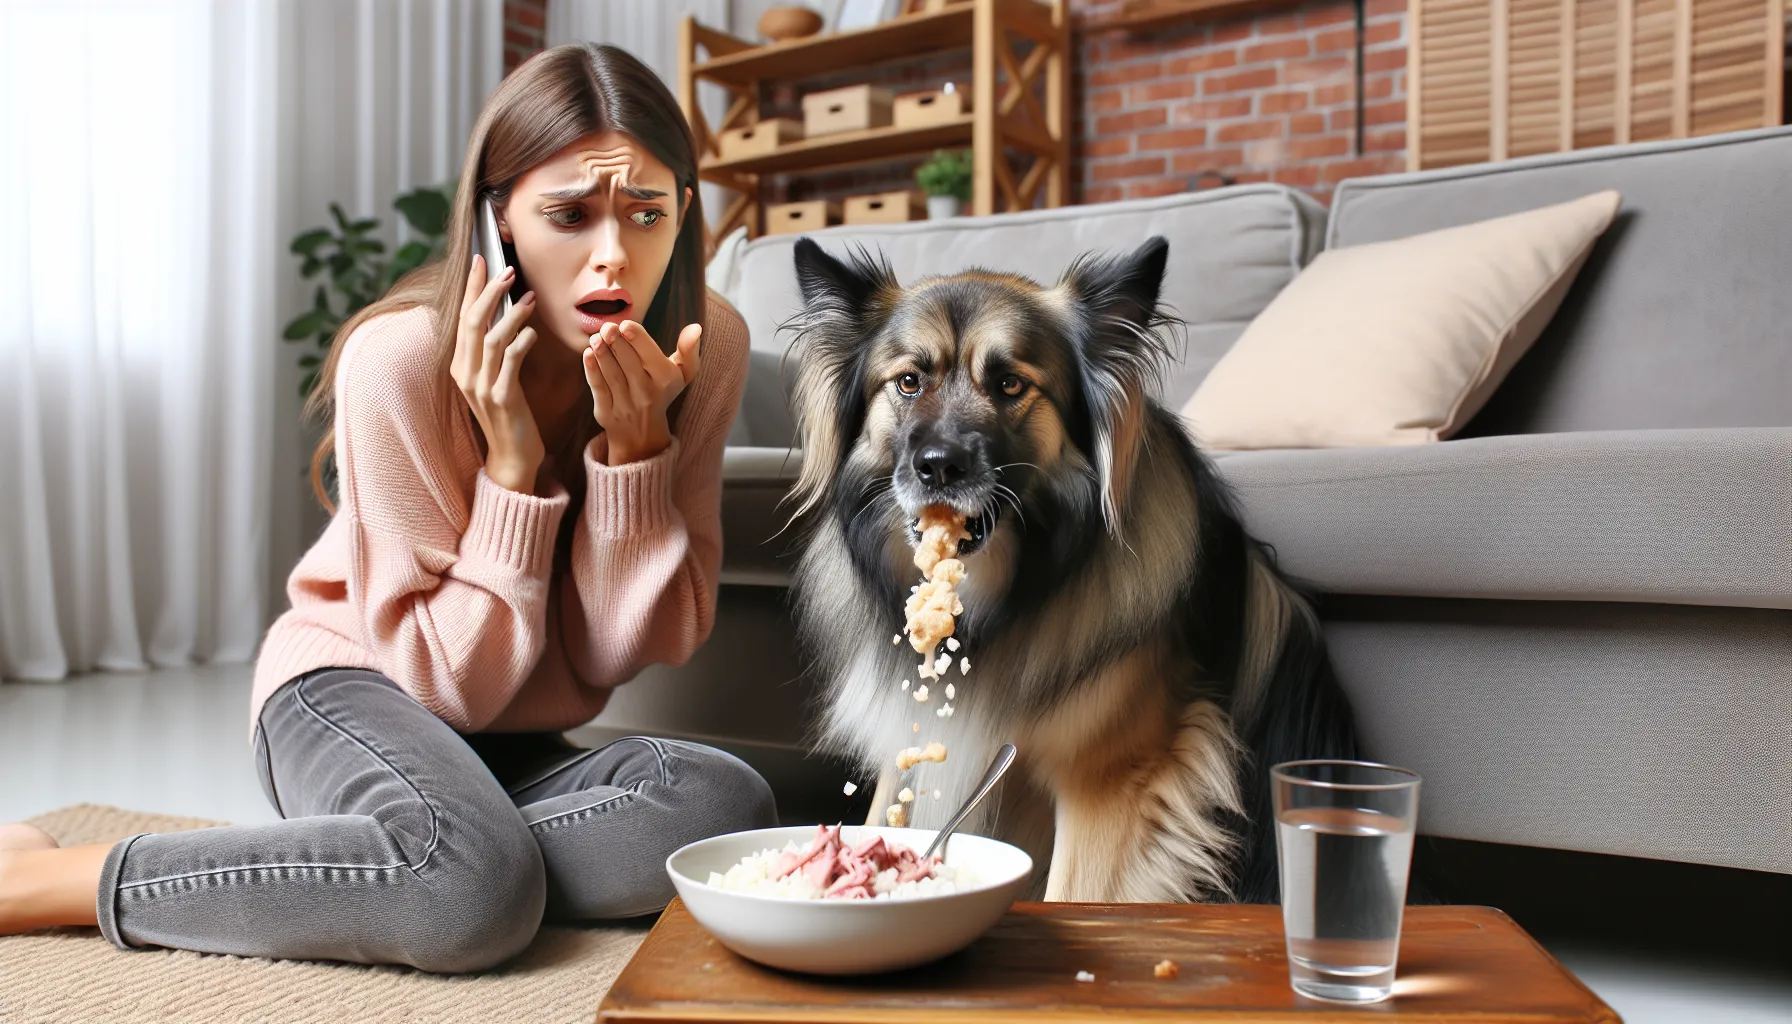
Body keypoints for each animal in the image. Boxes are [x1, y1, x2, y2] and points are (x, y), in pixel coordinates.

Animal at [781, 234, 1354, 903]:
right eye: (908, 382)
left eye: (1009, 383)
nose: (938, 466)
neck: (1001, 599)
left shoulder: (1111, 783)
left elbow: (1074, 894)